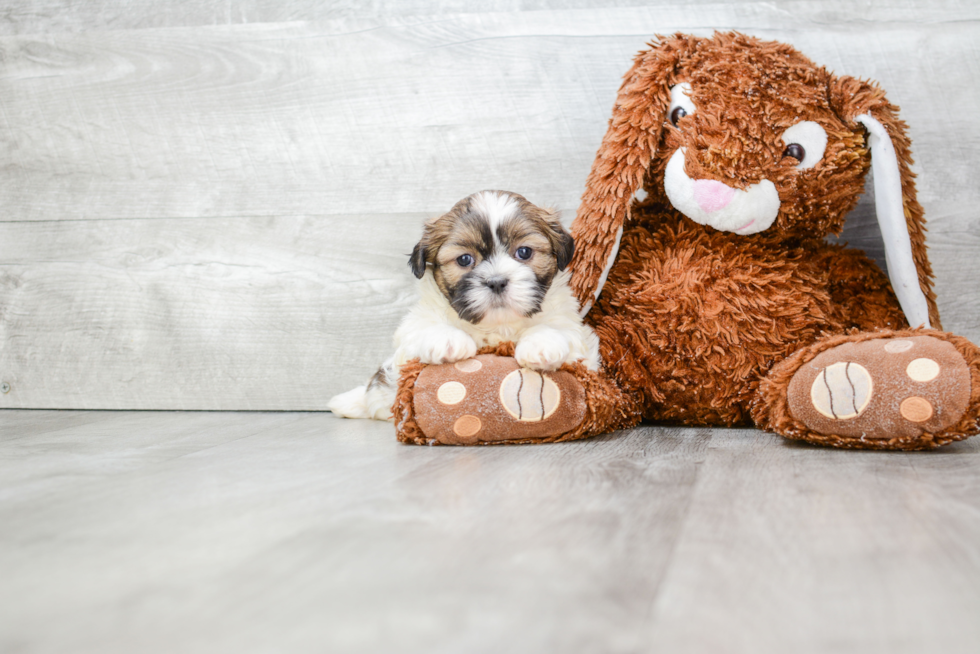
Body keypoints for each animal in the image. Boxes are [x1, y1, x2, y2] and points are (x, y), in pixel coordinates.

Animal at [330, 190, 600, 426]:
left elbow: (559, 330)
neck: (496, 327)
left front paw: (542, 344)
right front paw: (447, 341)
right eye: (464, 259)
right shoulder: (412, 329)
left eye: (524, 252)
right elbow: (423, 329)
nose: (496, 281)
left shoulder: (578, 333)